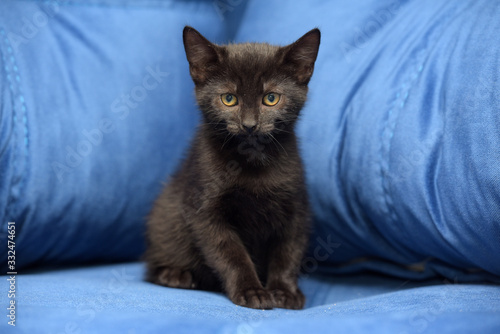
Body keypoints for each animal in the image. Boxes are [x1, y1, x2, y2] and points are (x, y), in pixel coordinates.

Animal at [145, 26, 320, 310]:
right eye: (229, 99)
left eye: (271, 98)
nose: (249, 125)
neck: (252, 162)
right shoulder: (203, 209)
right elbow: (230, 252)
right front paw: (252, 291)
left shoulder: (296, 206)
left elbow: (288, 251)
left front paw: (283, 291)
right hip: (166, 215)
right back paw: (176, 275)